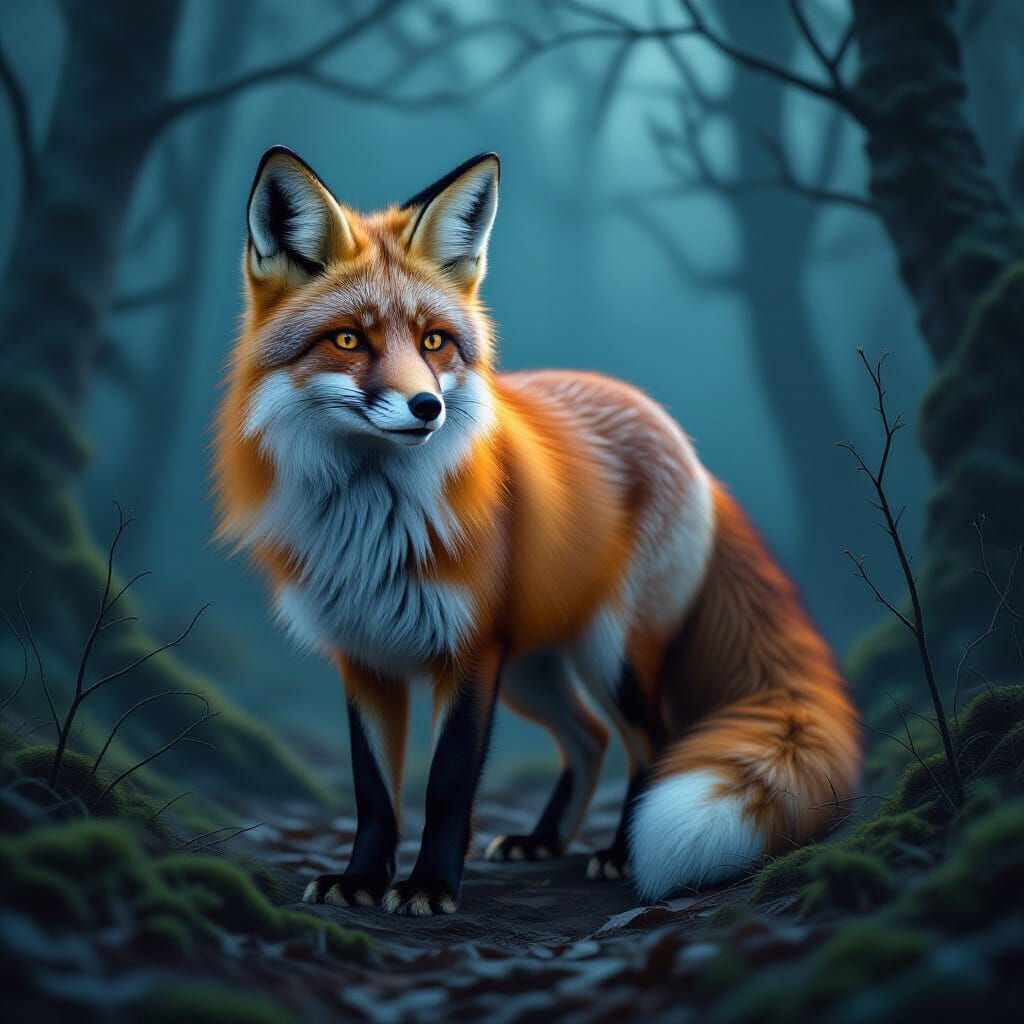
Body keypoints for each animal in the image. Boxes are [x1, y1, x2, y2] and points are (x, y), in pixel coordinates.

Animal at [213, 147, 861, 917]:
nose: (427, 407)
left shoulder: (470, 652)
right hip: (533, 669)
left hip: (608, 653)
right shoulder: (365, 656)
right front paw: (362, 880)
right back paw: (544, 840)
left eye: (434, 342)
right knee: (588, 737)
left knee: (653, 741)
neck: (373, 526)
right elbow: (373, 792)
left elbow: (448, 783)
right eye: (348, 340)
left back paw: (621, 854)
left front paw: (430, 887)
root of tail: (679, 439)